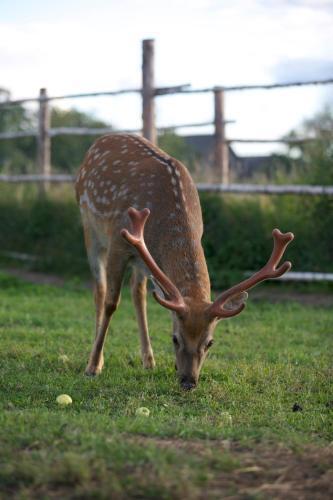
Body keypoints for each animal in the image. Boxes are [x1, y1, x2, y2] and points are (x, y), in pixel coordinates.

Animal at [75, 134, 294, 390]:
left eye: (210, 342)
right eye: (175, 339)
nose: (189, 381)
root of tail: (99, 141)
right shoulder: (118, 242)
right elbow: (111, 302)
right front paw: (92, 367)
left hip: (141, 261)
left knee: (138, 293)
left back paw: (148, 360)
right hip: (90, 228)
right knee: (99, 290)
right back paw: (96, 356)